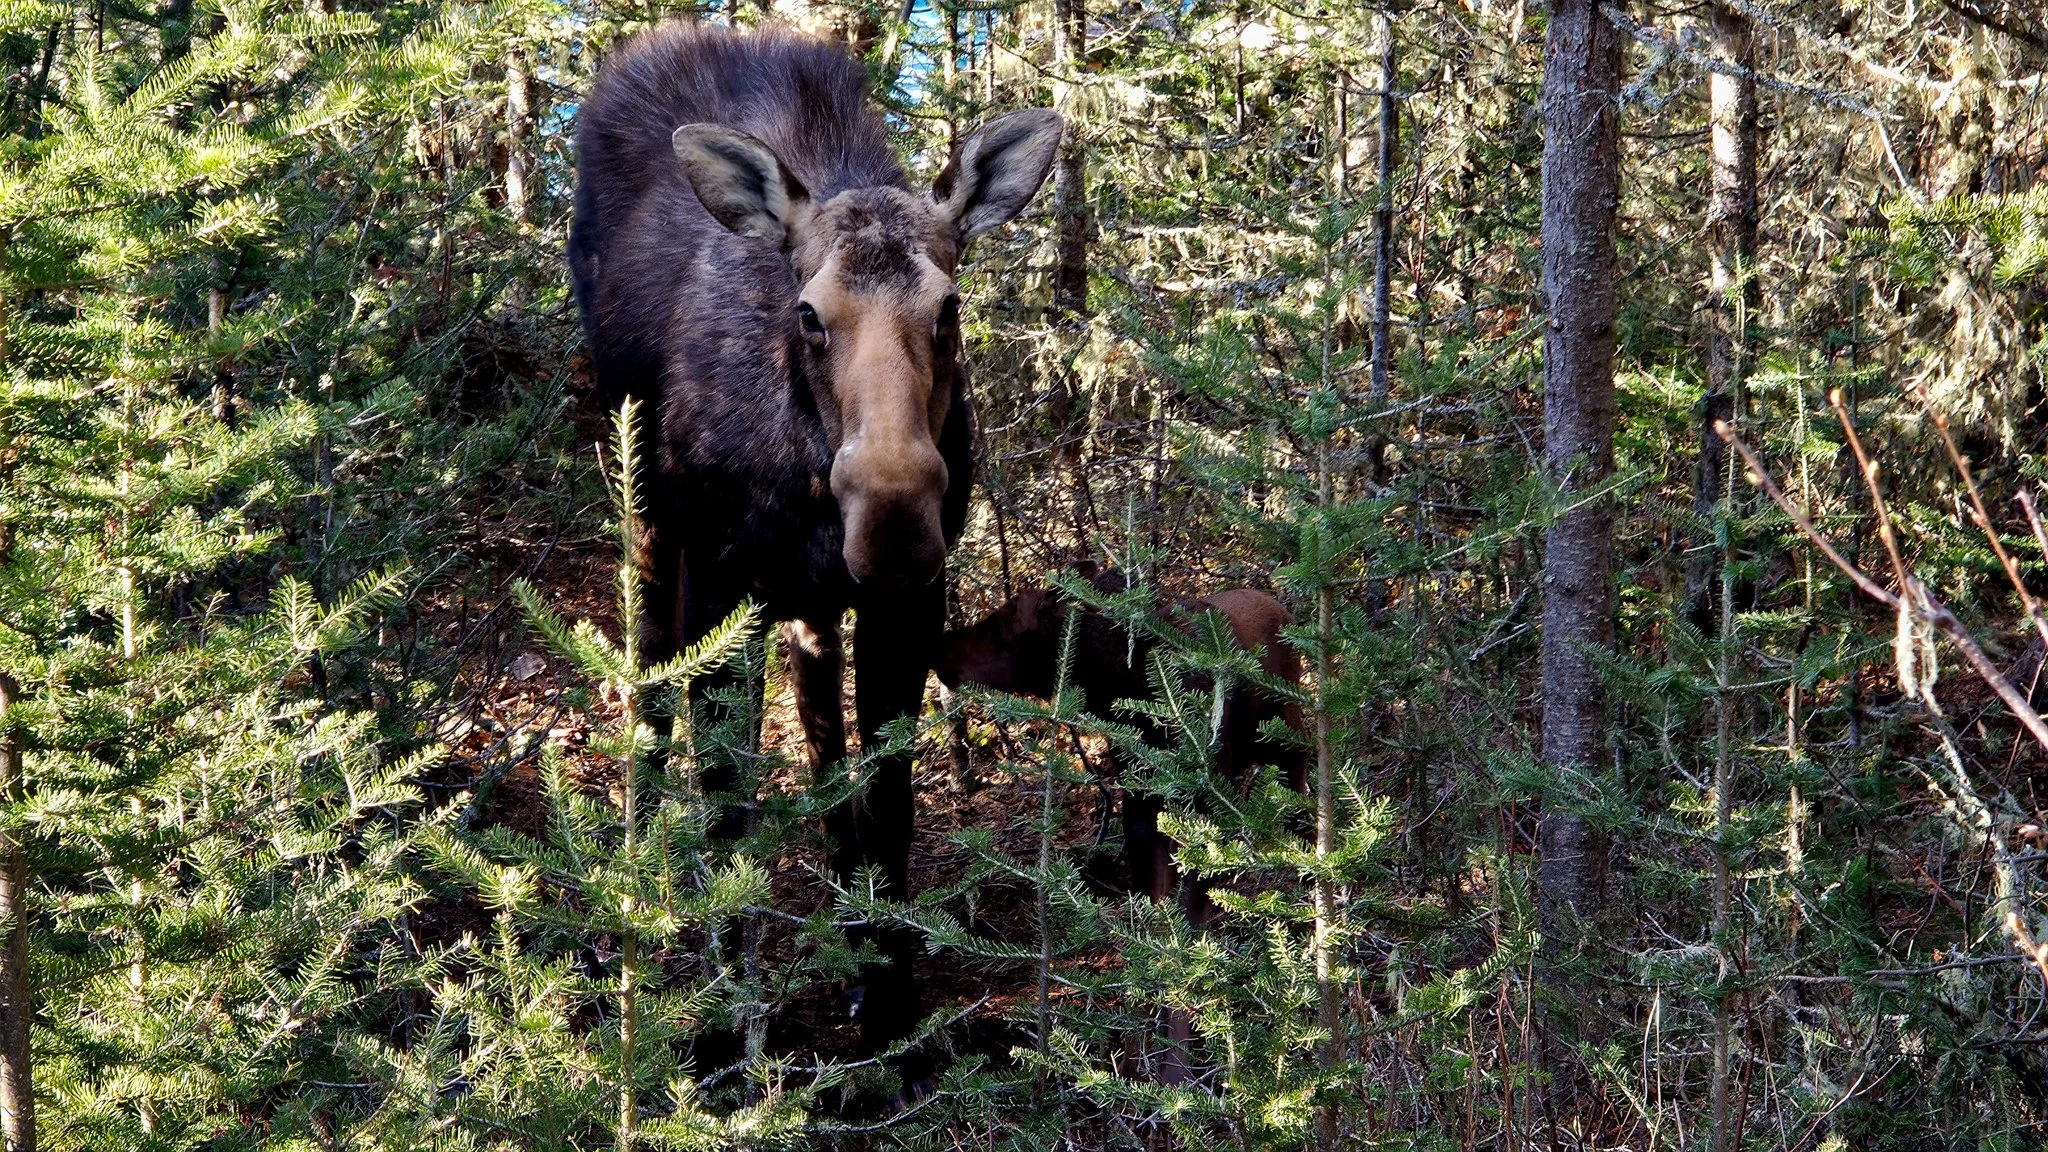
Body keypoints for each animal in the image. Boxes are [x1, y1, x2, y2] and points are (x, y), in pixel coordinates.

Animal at [568, 20, 1062, 1060]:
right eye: (810, 314)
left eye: (949, 308)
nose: (895, 518)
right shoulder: (720, 583)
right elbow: (726, 804)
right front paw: (722, 1022)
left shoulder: (906, 604)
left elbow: (890, 800)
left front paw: (887, 1000)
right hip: (645, 507)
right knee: (647, 686)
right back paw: (632, 886)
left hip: (806, 601)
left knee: (820, 719)